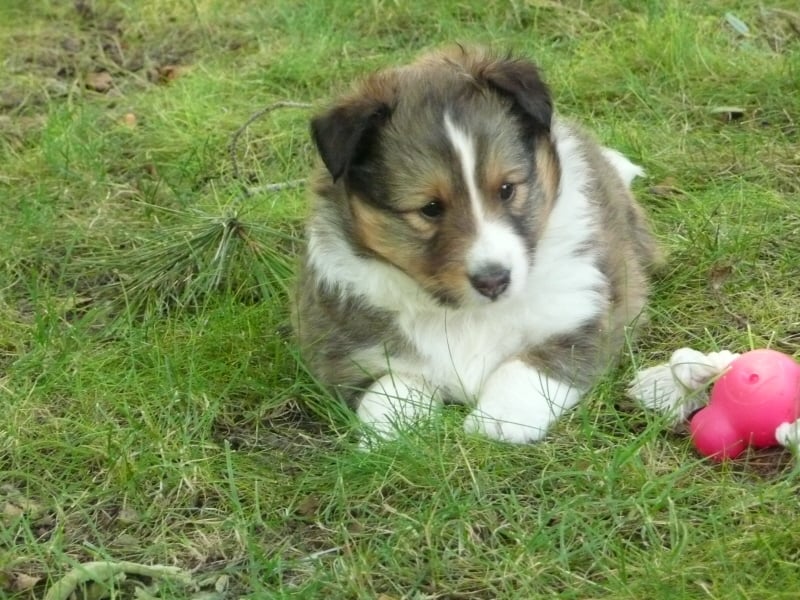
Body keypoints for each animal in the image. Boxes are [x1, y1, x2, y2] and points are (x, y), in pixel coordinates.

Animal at [290, 47, 660, 442]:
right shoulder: (349, 349)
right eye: (430, 208)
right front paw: (392, 434)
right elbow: (391, 388)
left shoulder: (585, 311)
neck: (466, 314)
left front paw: (498, 421)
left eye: (507, 189)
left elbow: (527, 368)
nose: (494, 281)